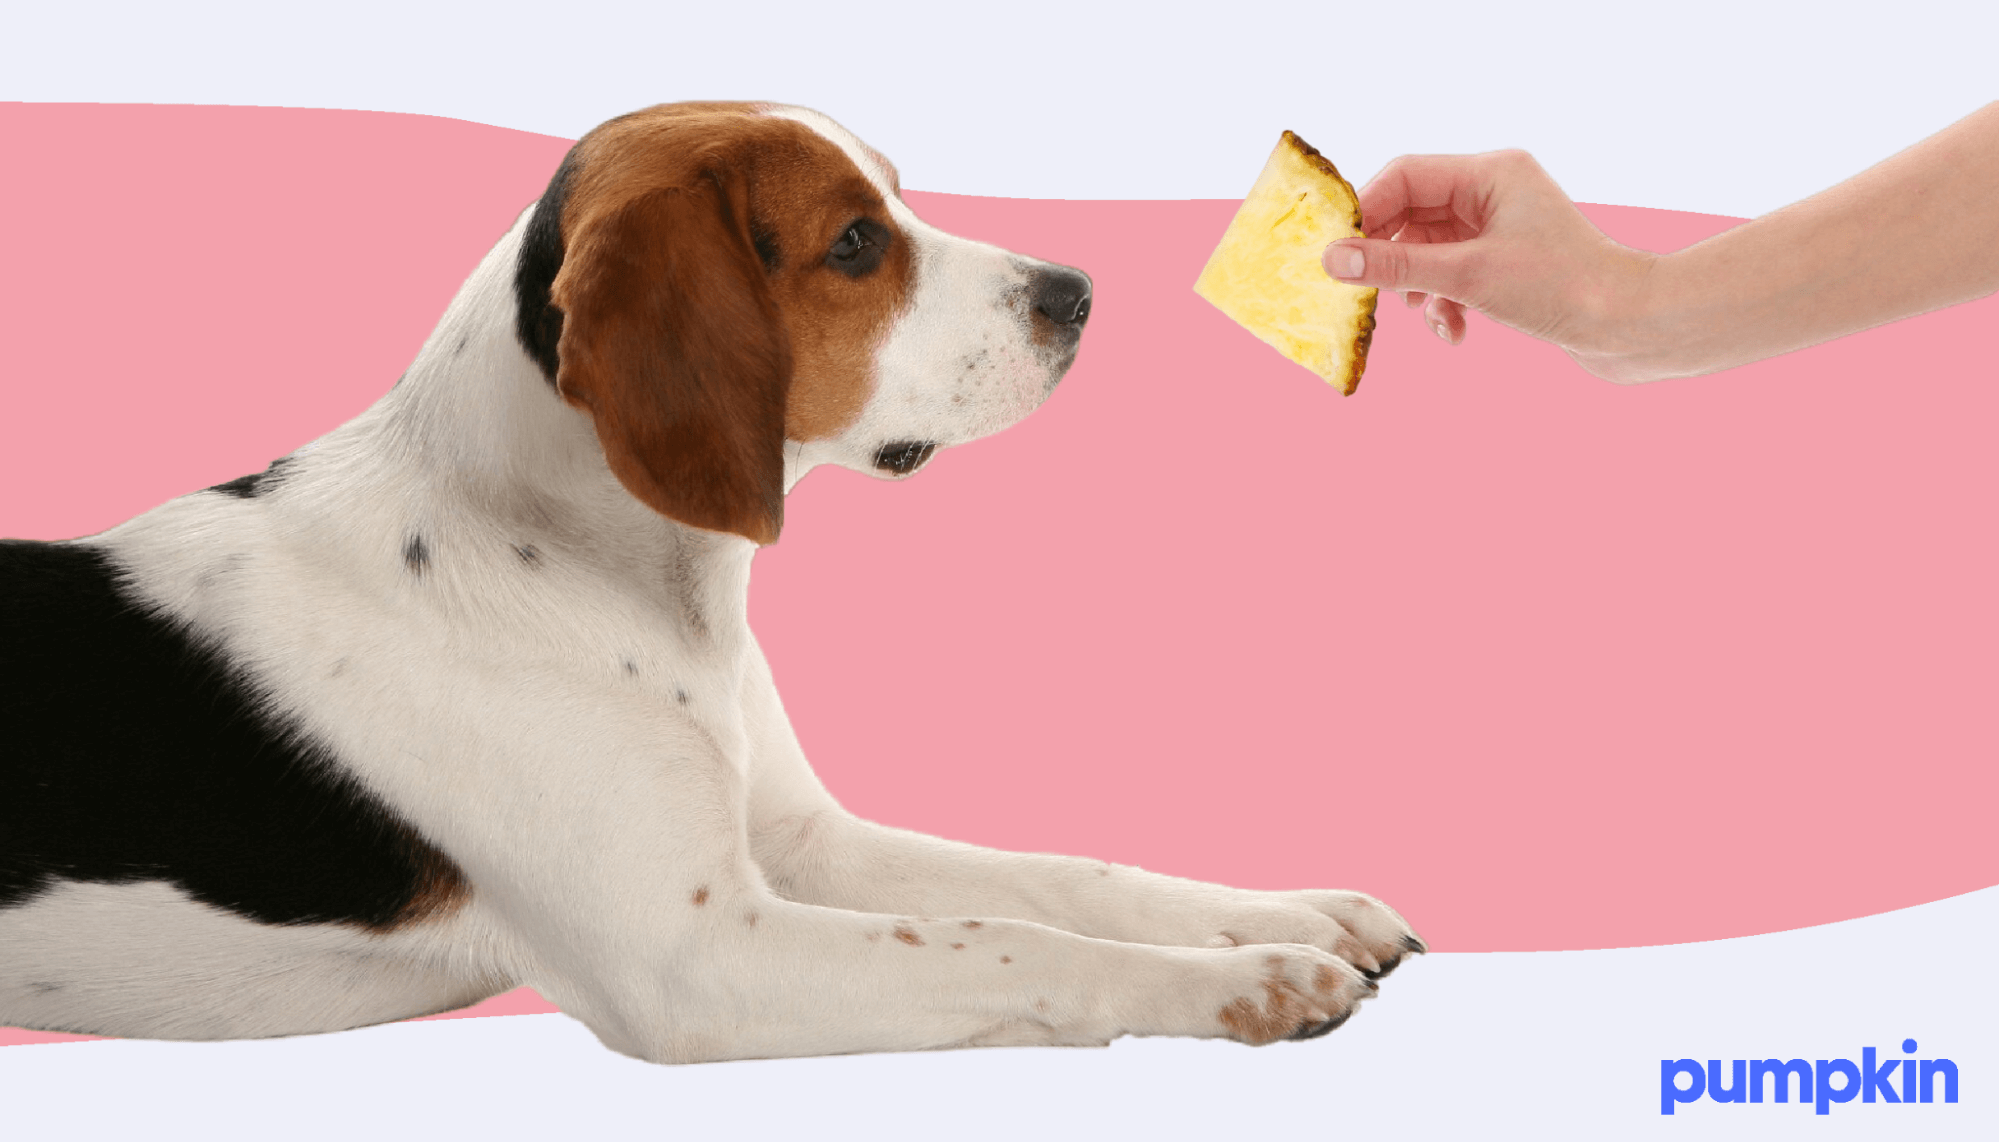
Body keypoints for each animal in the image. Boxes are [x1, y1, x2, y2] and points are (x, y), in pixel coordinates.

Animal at [0, 102, 1423, 1055]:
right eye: (853, 243)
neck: (608, 581)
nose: (1076, 289)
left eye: (899, 199)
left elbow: (1065, 878)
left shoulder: (803, 844)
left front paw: (1284, 914)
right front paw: (1241, 979)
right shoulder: (695, 959)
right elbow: (1019, 938)